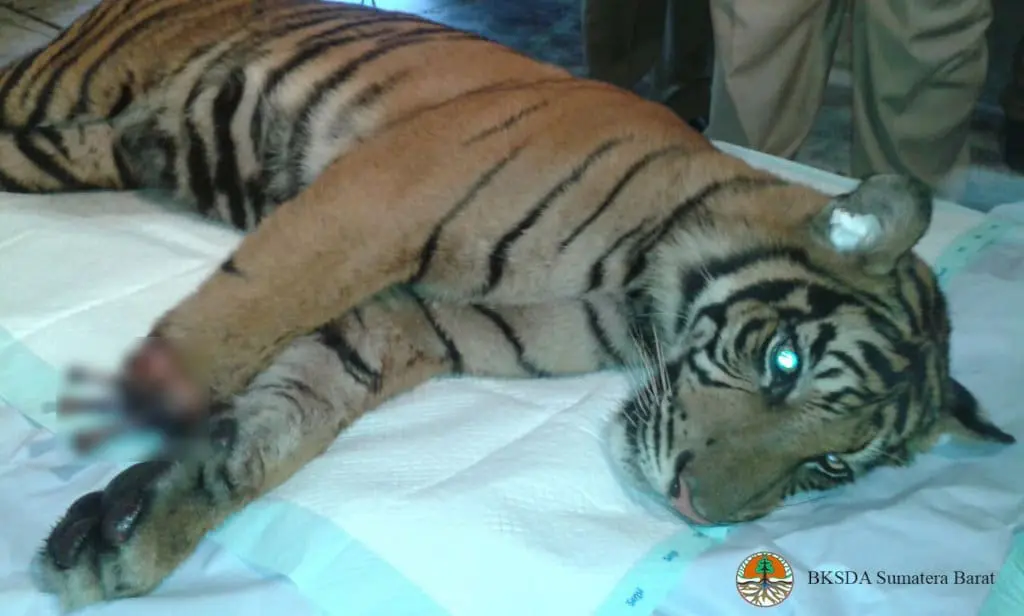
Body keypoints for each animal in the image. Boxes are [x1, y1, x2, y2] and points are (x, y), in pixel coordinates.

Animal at [0, 0, 1014, 611]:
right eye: (785, 364)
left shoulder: (410, 323)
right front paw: (135, 410)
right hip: (61, 88)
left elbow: (285, 418)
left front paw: (132, 530)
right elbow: (252, 307)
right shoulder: (384, 197)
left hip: (75, 149)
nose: (692, 509)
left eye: (832, 464)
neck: (634, 299)